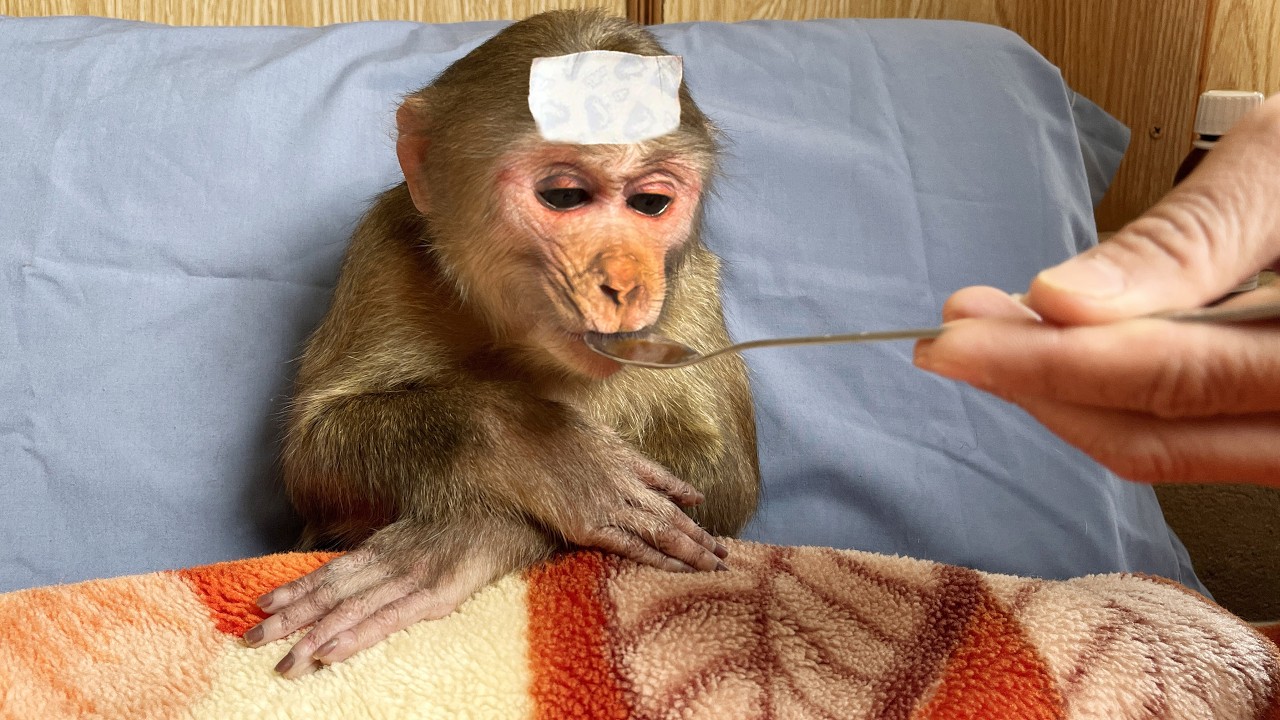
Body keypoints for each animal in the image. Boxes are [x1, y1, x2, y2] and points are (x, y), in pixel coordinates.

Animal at [242, 9, 760, 678]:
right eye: (564, 196)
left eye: (650, 203)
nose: (623, 280)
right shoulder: (383, 252)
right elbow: (312, 456)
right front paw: (554, 458)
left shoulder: (690, 285)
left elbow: (726, 483)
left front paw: (465, 539)